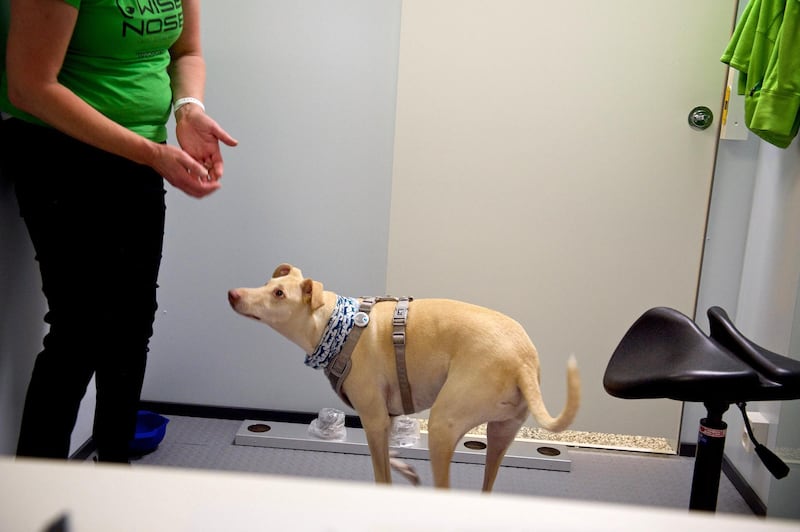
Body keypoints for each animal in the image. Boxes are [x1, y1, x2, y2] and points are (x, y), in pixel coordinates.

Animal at [228, 262, 580, 490]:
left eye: (278, 294)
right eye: (266, 284)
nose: (233, 293)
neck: (338, 324)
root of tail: (524, 361)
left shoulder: (373, 419)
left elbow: (381, 475)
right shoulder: (388, 418)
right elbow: (392, 455)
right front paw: (406, 469)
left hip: (443, 425)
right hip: (500, 434)